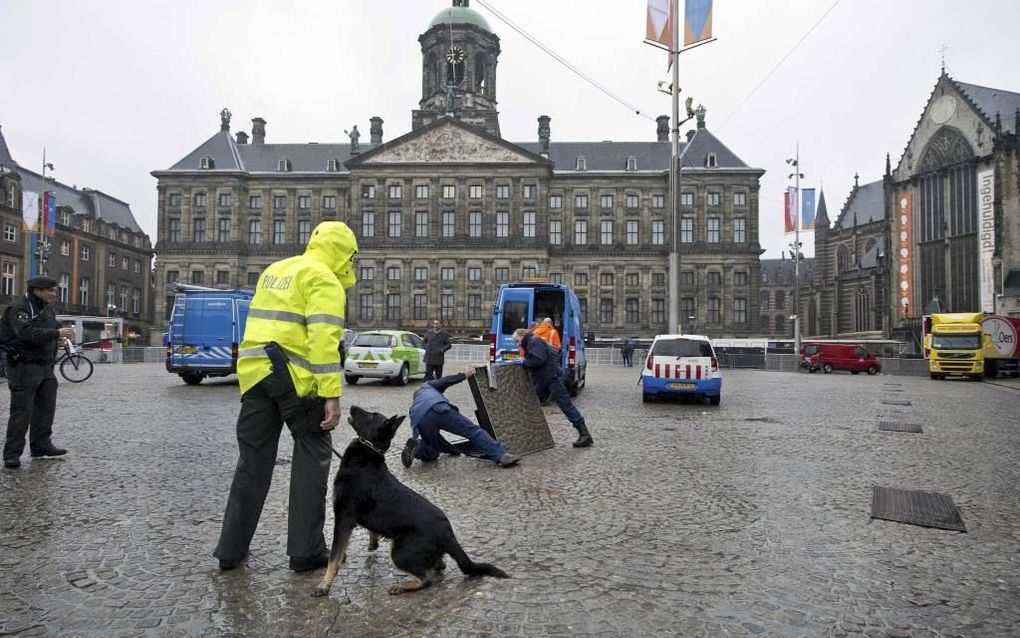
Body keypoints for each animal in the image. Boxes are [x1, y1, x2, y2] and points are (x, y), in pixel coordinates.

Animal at [310, 406, 510, 596]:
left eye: (371, 415)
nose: (351, 406)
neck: (370, 448)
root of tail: (448, 534)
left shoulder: (343, 519)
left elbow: (334, 559)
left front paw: (324, 585)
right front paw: (372, 542)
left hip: (399, 551)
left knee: (426, 579)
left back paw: (401, 586)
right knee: (438, 566)